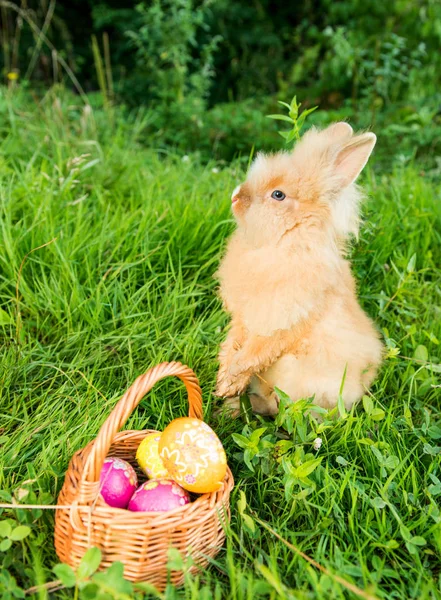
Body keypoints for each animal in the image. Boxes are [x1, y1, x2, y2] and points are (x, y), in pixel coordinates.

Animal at [215, 119, 384, 414]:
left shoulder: (283, 324)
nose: (236, 197)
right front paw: (223, 375)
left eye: (278, 194)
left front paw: (227, 384)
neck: (284, 243)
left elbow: (254, 354)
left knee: (276, 407)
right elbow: (235, 338)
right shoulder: (244, 317)